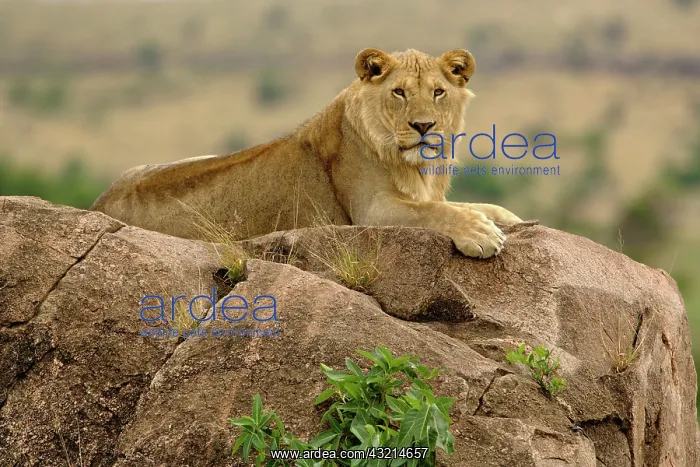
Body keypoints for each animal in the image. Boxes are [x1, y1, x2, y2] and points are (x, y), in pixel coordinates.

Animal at [91, 48, 522, 258]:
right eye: (399, 92)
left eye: (439, 92)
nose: (424, 127)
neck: (417, 168)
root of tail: (99, 202)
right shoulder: (371, 211)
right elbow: (433, 212)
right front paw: (481, 234)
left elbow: (476, 205)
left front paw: (507, 219)